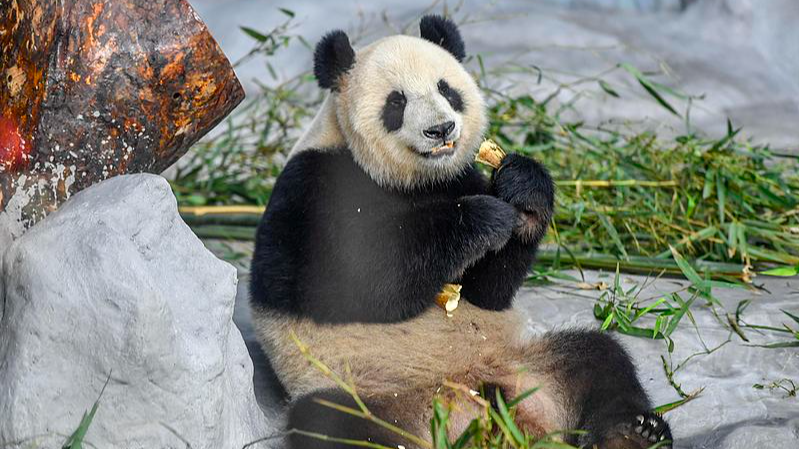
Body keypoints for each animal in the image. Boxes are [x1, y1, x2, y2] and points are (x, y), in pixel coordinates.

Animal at [249, 15, 672, 449]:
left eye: (446, 90)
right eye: (396, 102)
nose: (441, 129)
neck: (408, 180)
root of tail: (471, 409)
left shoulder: (457, 178)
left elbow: (487, 293)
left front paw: (522, 190)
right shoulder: (312, 186)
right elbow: (344, 279)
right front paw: (482, 219)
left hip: (529, 366)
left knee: (599, 358)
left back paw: (633, 432)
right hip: (367, 392)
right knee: (332, 423)